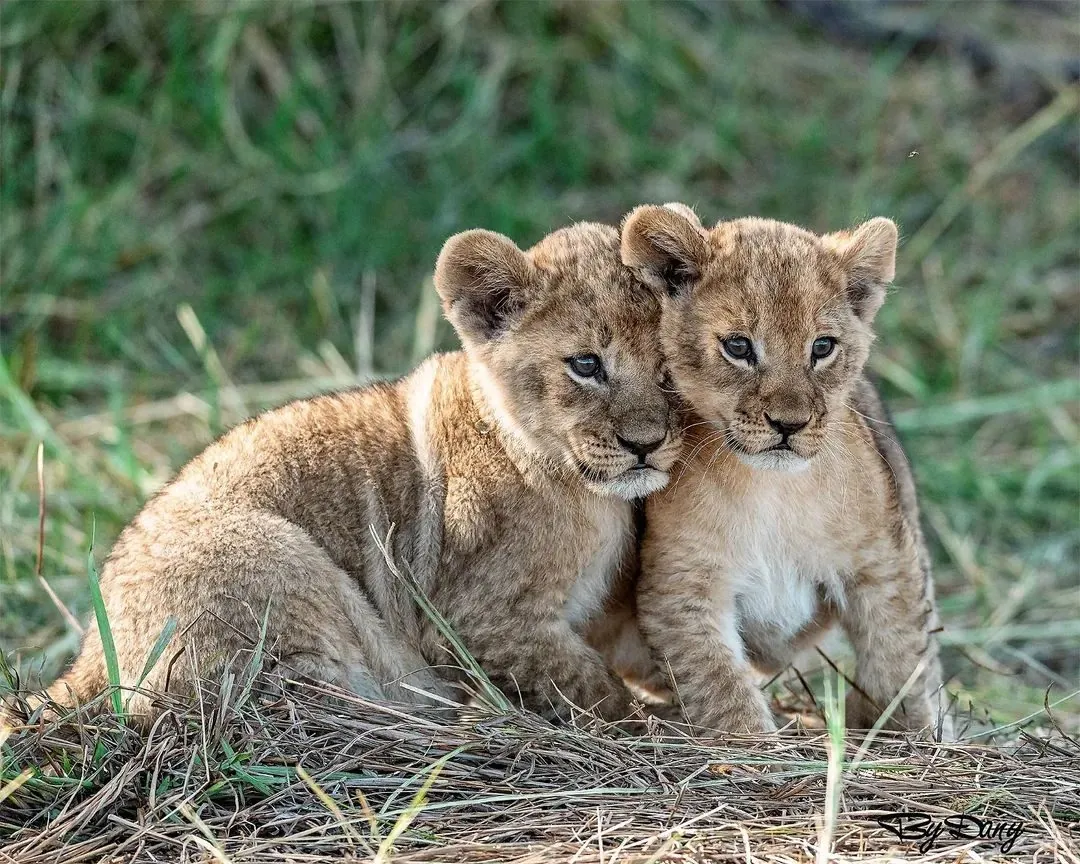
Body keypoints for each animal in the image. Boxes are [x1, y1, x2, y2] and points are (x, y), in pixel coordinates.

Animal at [620, 204, 951, 738]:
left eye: (822, 347)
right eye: (738, 347)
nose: (789, 424)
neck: (772, 488)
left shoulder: (885, 561)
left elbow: (900, 663)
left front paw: (917, 739)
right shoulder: (682, 584)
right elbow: (720, 685)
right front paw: (753, 748)